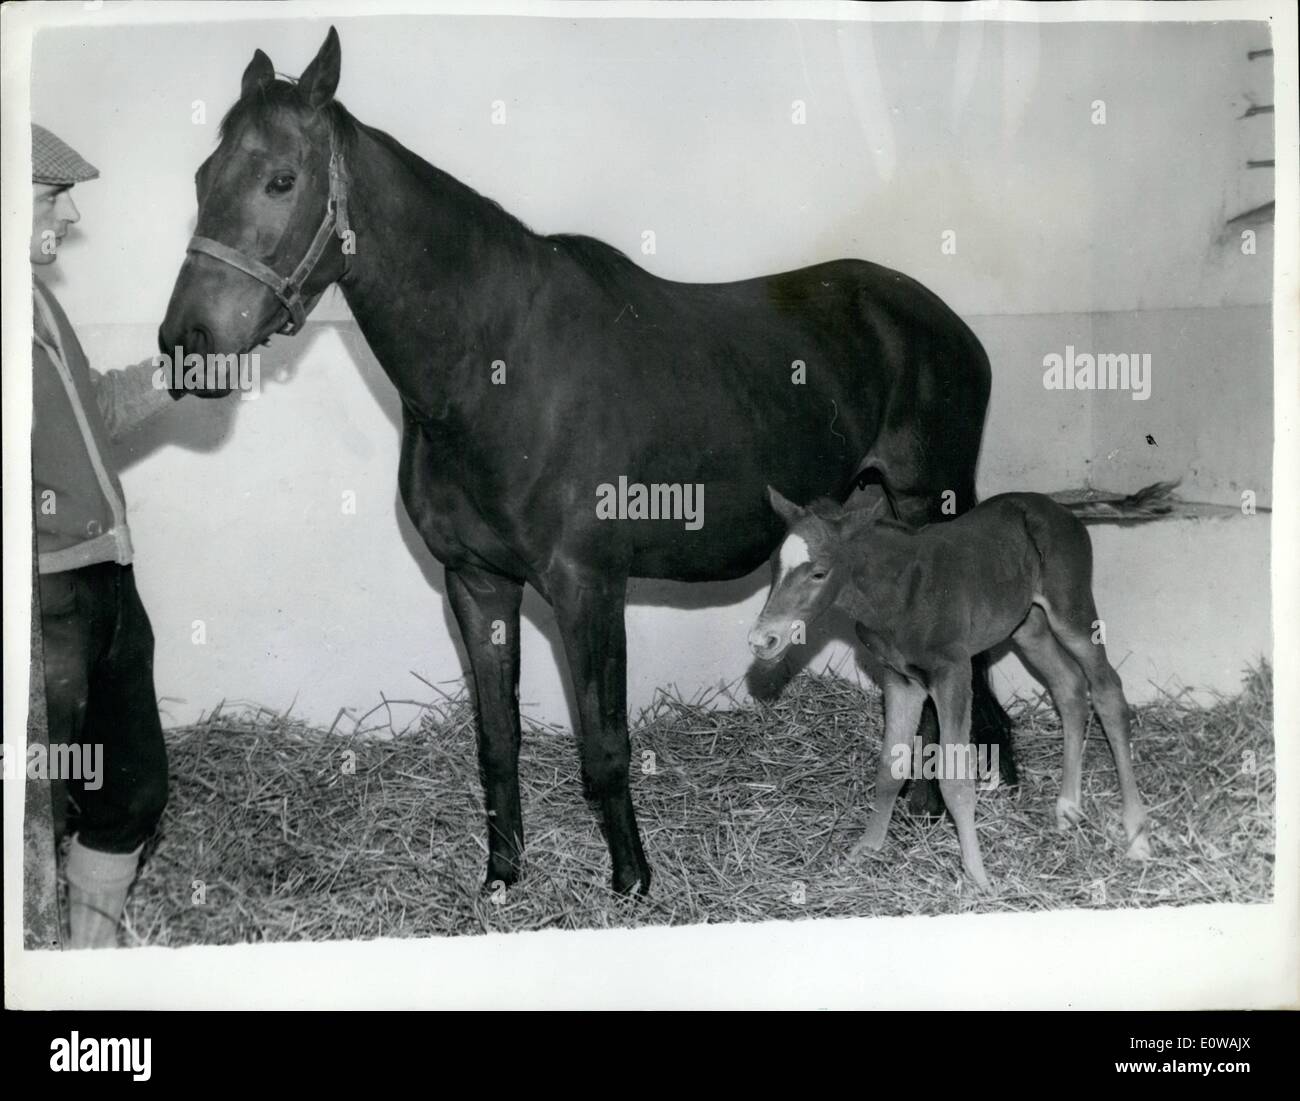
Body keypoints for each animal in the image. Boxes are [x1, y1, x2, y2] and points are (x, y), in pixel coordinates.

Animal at [159, 27, 1013, 894]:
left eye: (280, 180)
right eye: (201, 176)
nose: (185, 342)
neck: (495, 367)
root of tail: (949, 324)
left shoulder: (588, 586)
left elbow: (604, 744)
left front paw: (632, 877)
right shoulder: (476, 583)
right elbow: (496, 739)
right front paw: (502, 874)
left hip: (929, 501)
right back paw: (922, 808)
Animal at [748, 488, 1154, 894]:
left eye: (819, 573)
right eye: (772, 569)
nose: (762, 640)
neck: (900, 592)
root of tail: (1061, 507)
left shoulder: (952, 674)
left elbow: (955, 778)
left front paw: (978, 877)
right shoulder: (900, 679)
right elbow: (890, 767)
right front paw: (865, 851)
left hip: (1071, 612)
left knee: (1107, 691)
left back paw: (1137, 836)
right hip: (1028, 626)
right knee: (1068, 687)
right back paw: (1068, 808)